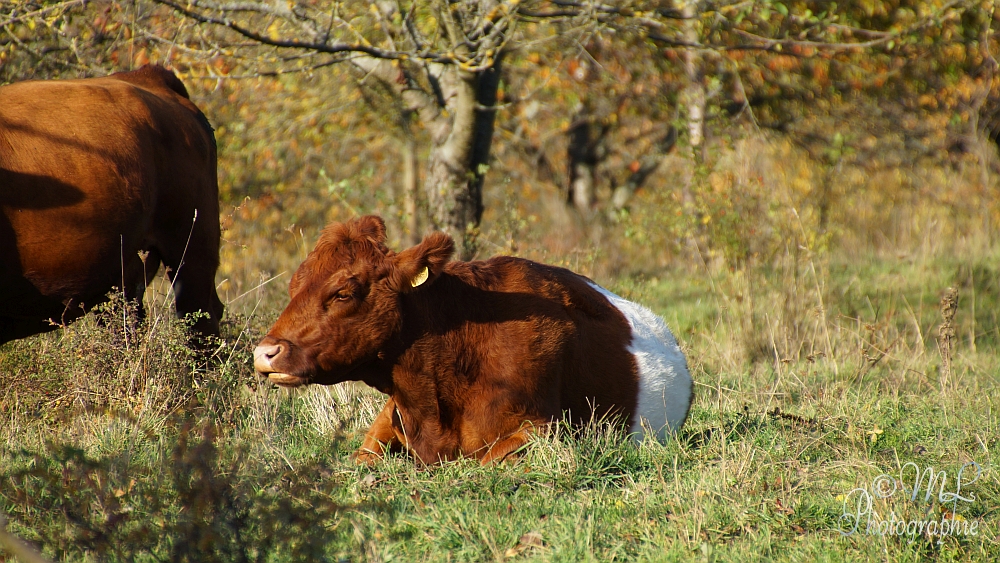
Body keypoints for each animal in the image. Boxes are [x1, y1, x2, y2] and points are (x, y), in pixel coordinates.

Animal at [254, 215, 692, 462]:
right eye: (293, 286)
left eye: (343, 292)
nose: (265, 352)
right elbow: (363, 461)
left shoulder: (547, 428)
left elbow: (486, 461)